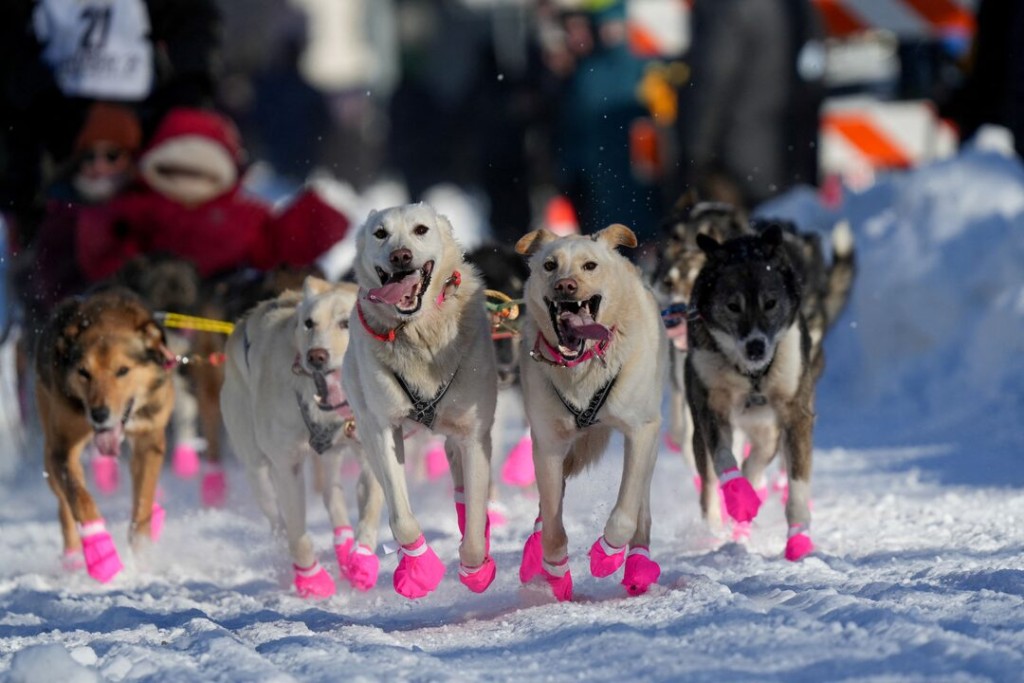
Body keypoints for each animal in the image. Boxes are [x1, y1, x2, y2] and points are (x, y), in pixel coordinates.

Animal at [35, 286, 175, 581]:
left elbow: (143, 501)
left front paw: (143, 555)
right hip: (50, 447)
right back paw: (75, 556)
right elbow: (80, 499)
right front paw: (101, 551)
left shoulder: (149, 440)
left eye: (122, 370)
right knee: (64, 504)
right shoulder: (63, 449)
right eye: (83, 372)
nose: (99, 414)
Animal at [342, 201, 497, 598]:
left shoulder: (474, 435)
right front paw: (419, 569)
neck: (418, 333)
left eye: (421, 230)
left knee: (463, 489)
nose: (400, 255)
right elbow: (402, 517)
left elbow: (475, 521)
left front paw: (476, 569)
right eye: (380, 233)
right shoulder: (383, 429)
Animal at [516, 222, 667, 602]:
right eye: (549, 265)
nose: (565, 286)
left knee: (640, 505)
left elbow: (625, 513)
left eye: (589, 266)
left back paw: (637, 564)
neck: (582, 367)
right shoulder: (548, 445)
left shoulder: (641, 430)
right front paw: (556, 572)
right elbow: (553, 527)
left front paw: (607, 555)